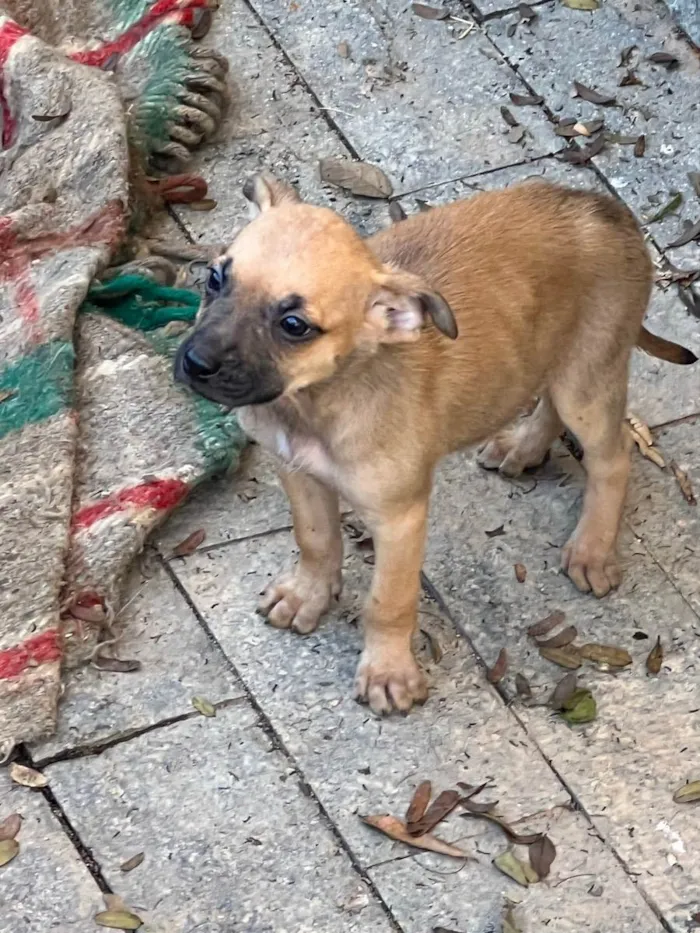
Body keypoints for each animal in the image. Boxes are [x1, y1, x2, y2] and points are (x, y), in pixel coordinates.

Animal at [175, 173, 696, 712]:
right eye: (215, 279)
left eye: (294, 326)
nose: (195, 363)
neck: (318, 401)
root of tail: (606, 209)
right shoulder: (298, 471)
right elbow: (315, 540)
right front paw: (308, 595)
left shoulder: (399, 517)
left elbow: (389, 600)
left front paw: (388, 671)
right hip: (555, 358)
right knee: (549, 399)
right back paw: (525, 446)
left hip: (588, 380)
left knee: (612, 458)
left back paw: (592, 549)